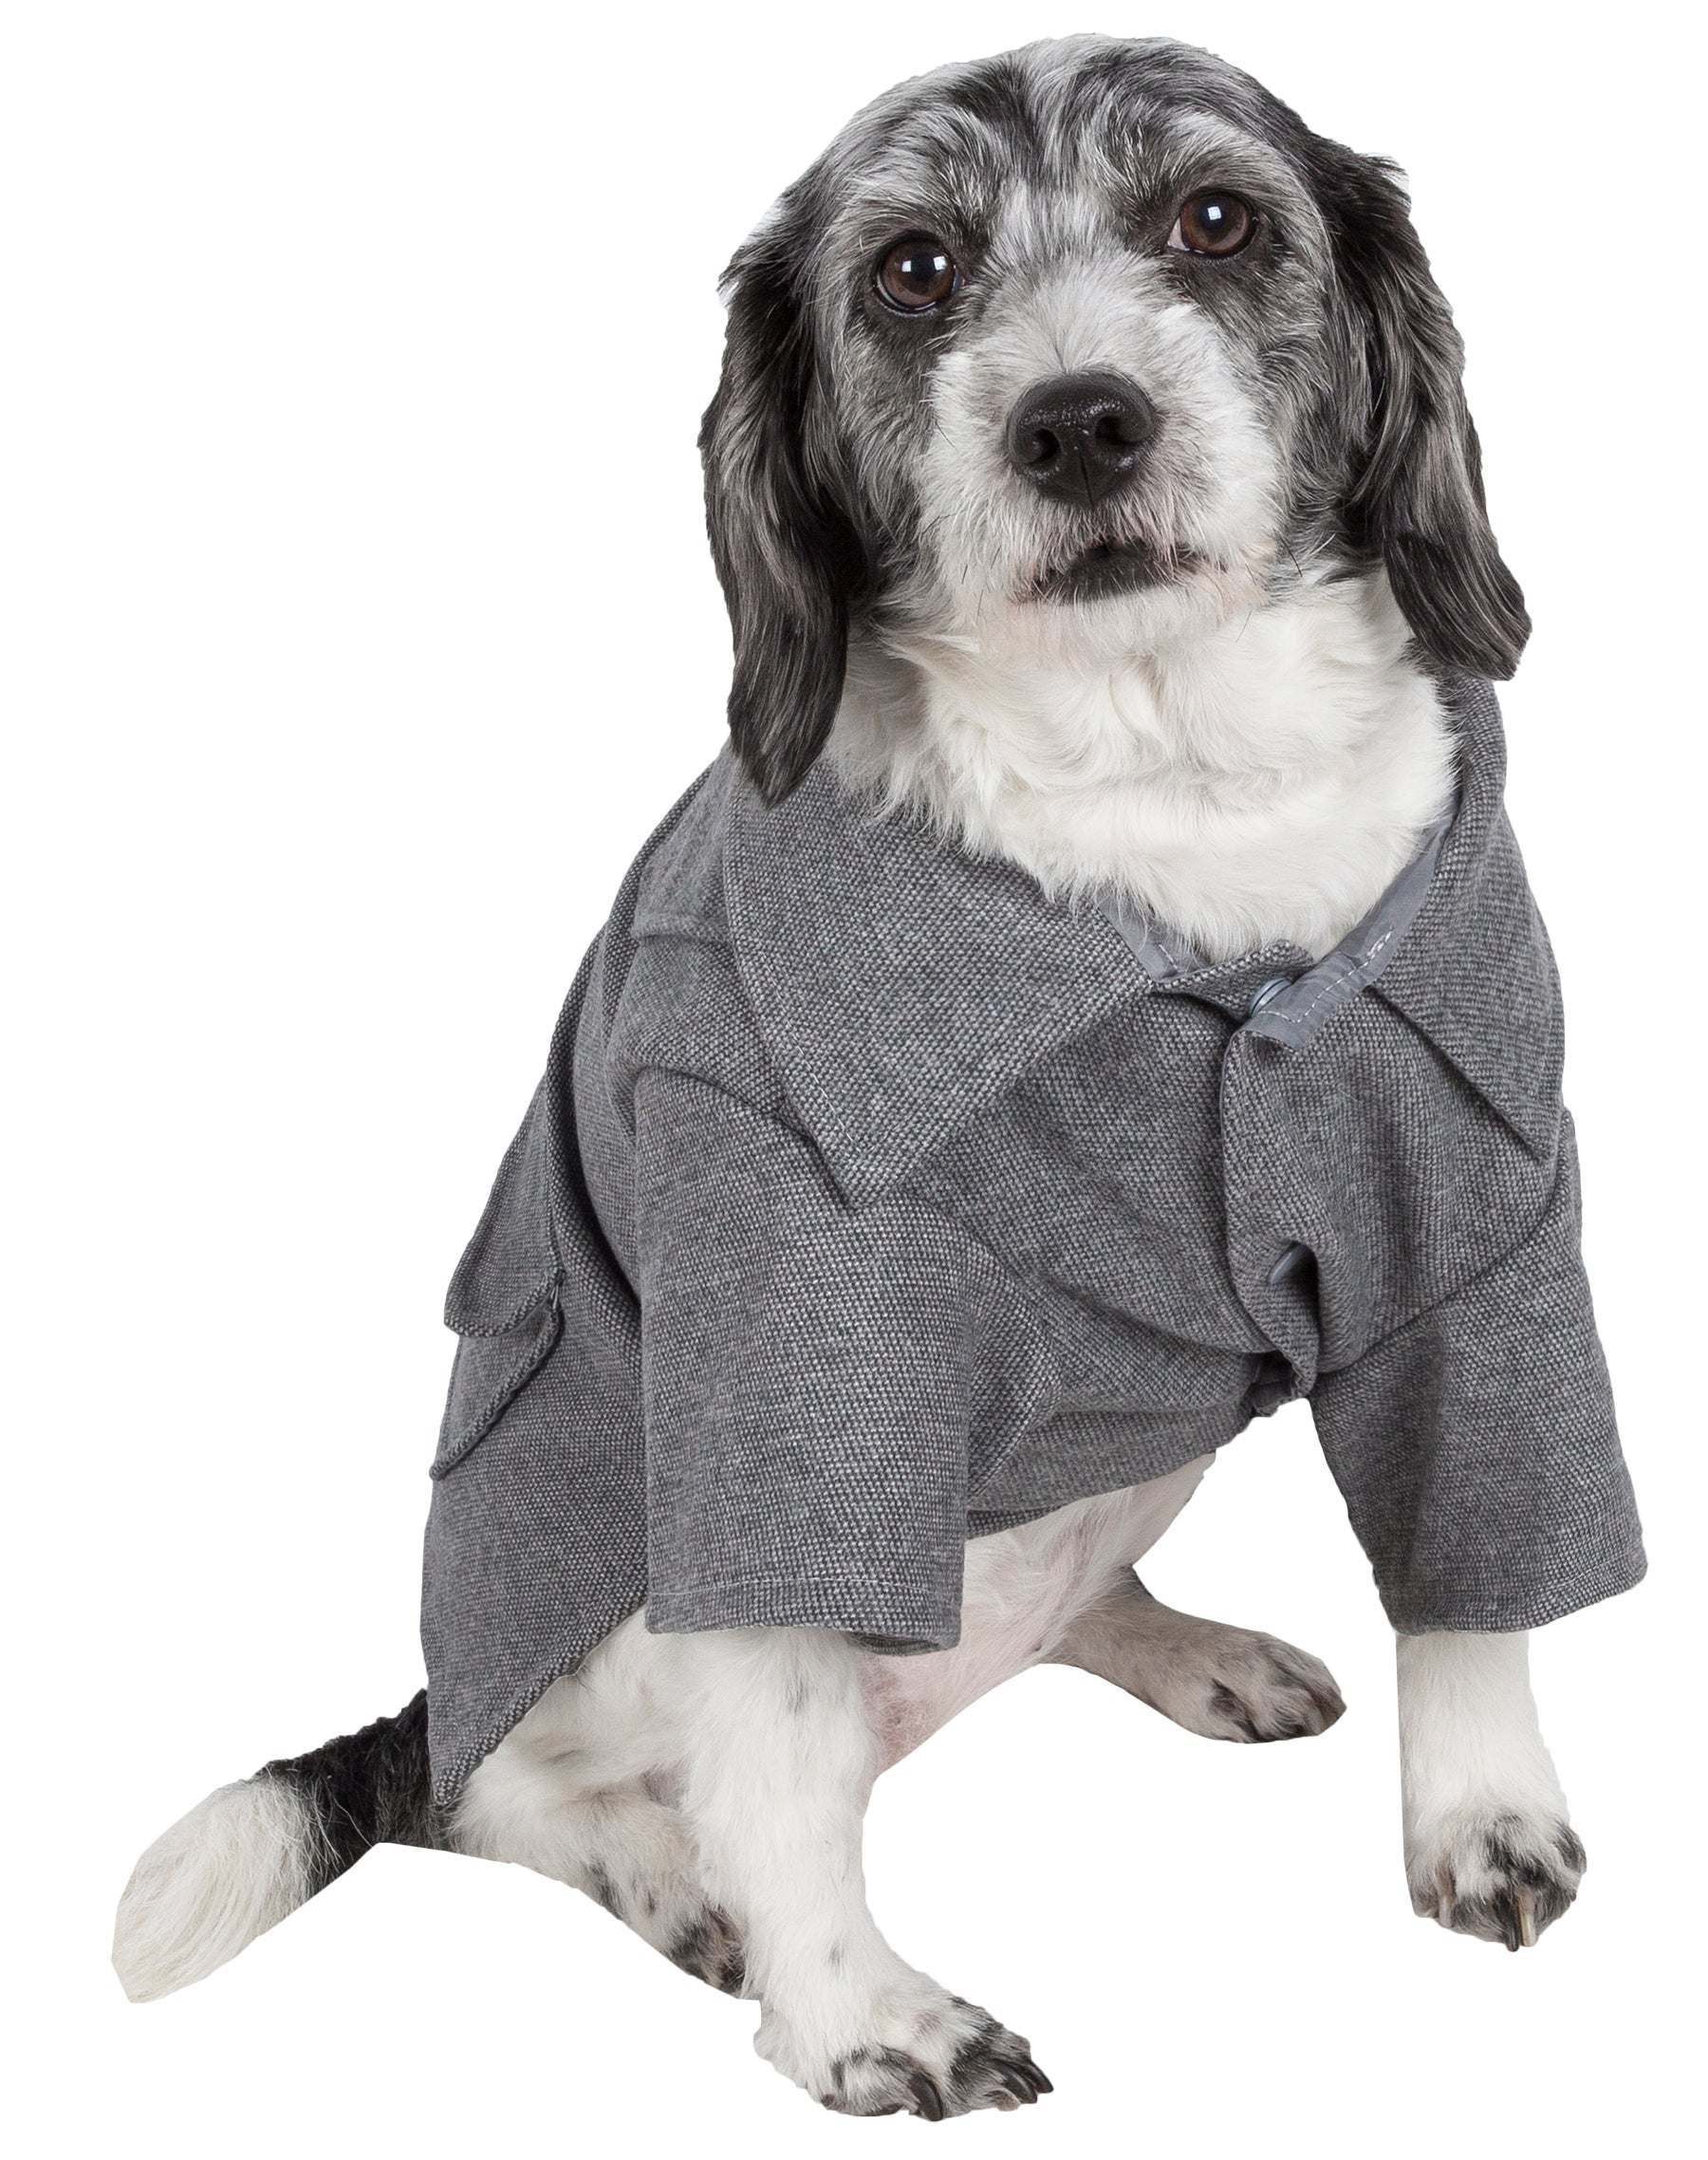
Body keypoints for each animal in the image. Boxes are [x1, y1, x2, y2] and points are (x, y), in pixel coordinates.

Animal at [115, 35, 1643, 2118]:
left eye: (1216, 218)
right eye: (916, 269)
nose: (1080, 422)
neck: (1165, 797)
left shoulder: (1476, 1225)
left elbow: (1476, 1557)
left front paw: (1481, 1813)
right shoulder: (776, 1343)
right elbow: (774, 1738)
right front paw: (856, 2010)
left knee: (1056, 1603)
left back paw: (1186, 1648)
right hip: (605, 1626)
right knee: (520, 1787)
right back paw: (681, 1881)